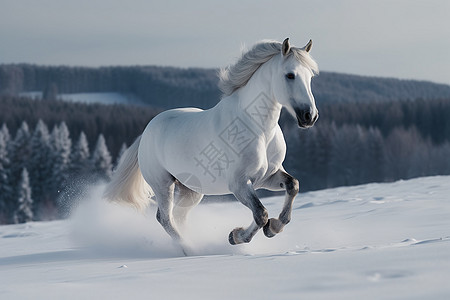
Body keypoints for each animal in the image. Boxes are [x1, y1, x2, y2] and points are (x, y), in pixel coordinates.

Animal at [103, 37, 318, 252]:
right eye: (290, 75)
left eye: (310, 76)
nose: (310, 116)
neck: (258, 128)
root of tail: (147, 131)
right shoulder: (239, 183)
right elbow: (260, 214)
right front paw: (235, 236)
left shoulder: (268, 177)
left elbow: (293, 186)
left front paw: (273, 228)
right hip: (162, 184)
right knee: (164, 218)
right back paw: (189, 249)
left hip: (191, 190)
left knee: (179, 216)